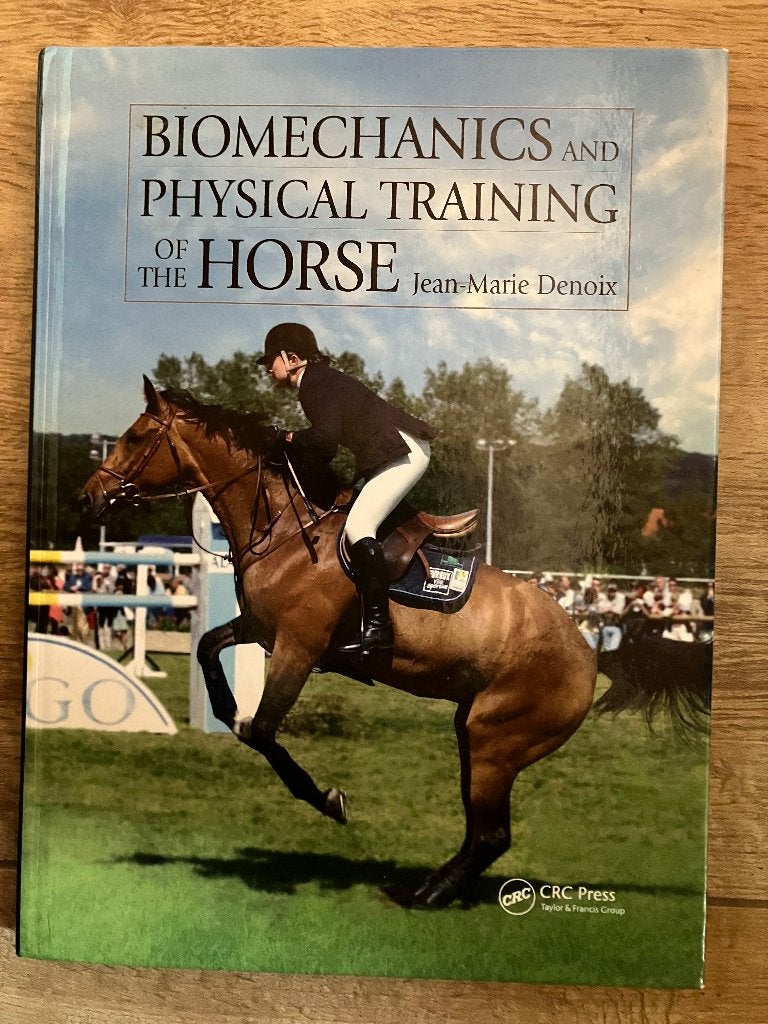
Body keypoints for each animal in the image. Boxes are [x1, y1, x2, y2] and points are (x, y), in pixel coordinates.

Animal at [78, 377, 598, 907]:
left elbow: (261, 731)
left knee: (491, 834)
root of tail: (587, 653)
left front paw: (328, 800)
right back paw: (427, 886)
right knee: (485, 830)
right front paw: (227, 711)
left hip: (494, 740)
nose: (87, 499)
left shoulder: (299, 648)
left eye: (136, 438)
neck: (286, 528)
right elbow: (206, 649)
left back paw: (426, 895)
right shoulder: (262, 629)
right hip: (472, 732)